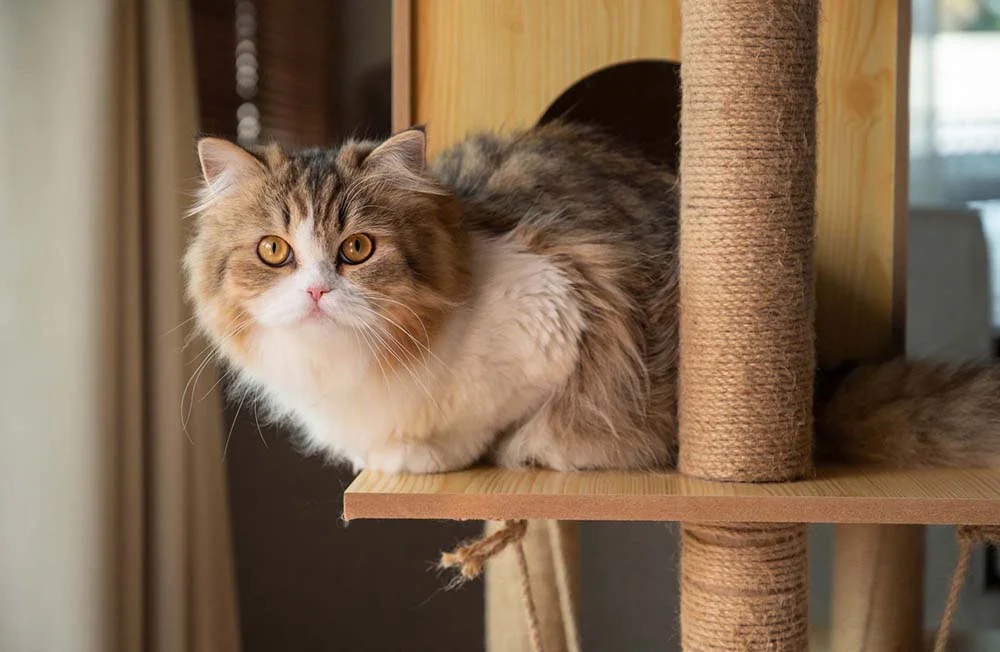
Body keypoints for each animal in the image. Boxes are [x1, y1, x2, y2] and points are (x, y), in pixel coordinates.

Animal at [184, 121, 1000, 474]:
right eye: (275, 252)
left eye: (357, 249)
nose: (317, 289)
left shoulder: (559, 307)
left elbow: (485, 426)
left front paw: (430, 457)